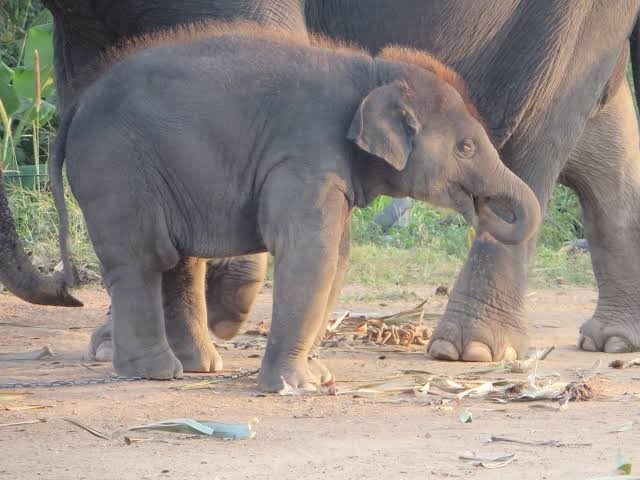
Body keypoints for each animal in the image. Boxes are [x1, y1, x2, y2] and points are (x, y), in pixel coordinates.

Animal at [40, 0, 640, 364]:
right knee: (604, 132)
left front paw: (226, 310)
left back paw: (468, 352)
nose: (61, 292)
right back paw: (613, 340)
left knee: (544, 124)